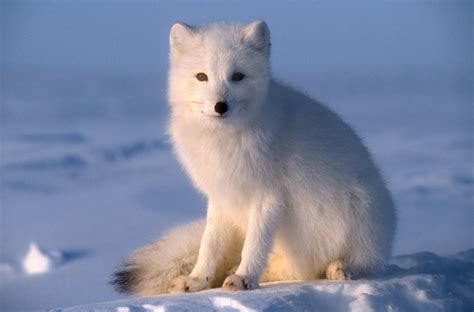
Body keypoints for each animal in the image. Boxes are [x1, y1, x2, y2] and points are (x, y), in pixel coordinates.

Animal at [112, 20, 396, 294]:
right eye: (202, 77)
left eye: (237, 76)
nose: (220, 106)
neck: (224, 141)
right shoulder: (221, 197)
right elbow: (209, 245)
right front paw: (197, 280)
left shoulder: (268, 196)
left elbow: (255, 245)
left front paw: (244, 278)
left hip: (360, 215)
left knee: (360, 263)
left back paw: (340, 267)